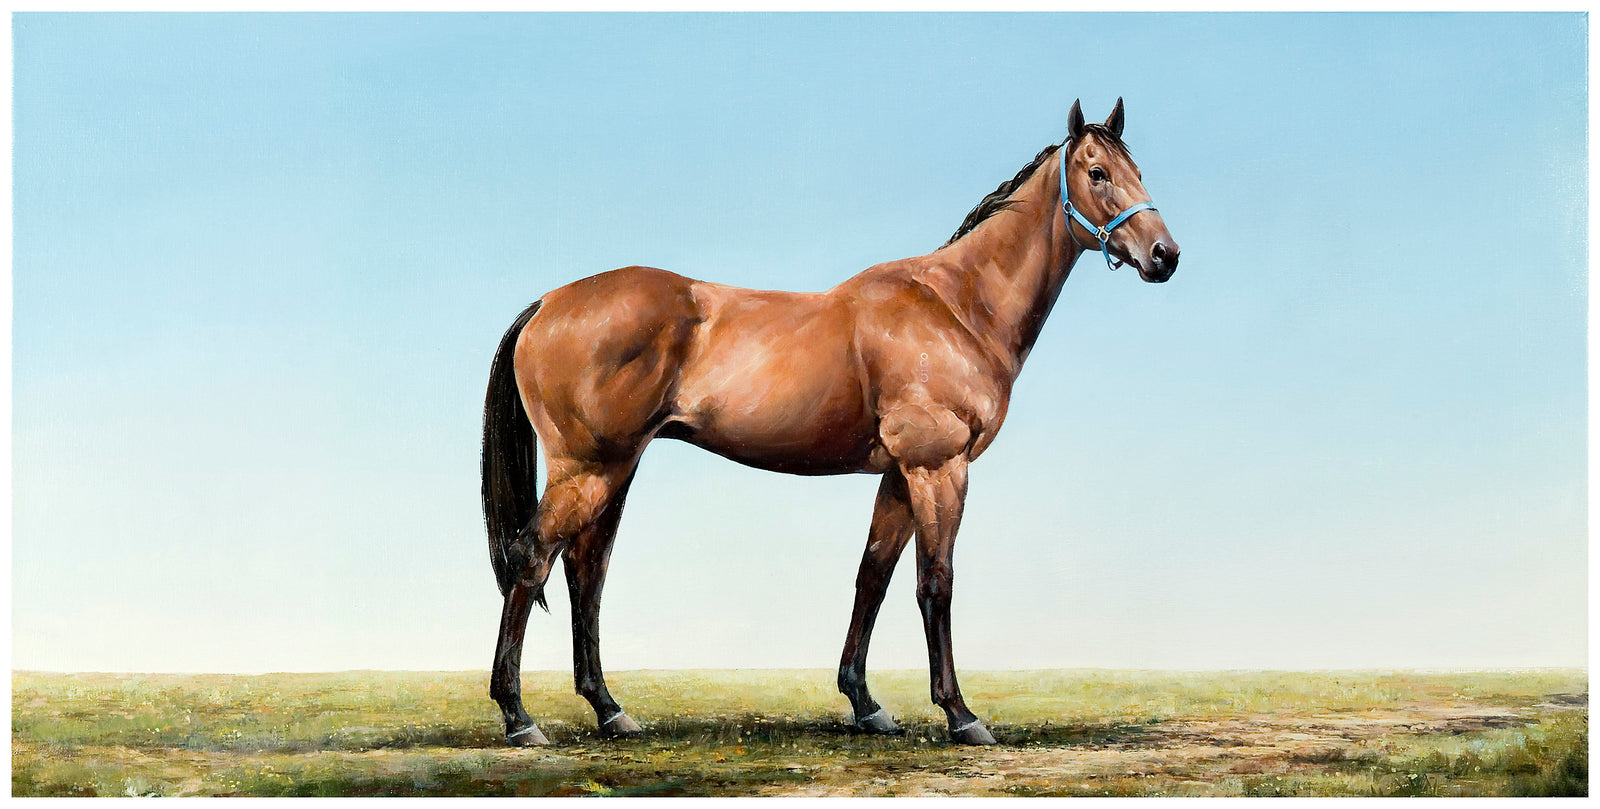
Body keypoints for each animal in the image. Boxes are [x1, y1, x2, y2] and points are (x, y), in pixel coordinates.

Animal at [480, 98, 1179, 747]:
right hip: (589, 469)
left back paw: (610, 711)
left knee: (586, 573)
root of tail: (548, 303)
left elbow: (872, 577)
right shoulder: (938, 469)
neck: (958, 306)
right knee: (533, 559)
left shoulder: (899, 476)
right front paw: (960, 714)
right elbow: (936, 582)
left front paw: (865, 704)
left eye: (1137, 170)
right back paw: (519, 718)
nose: (1164, 255)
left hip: (617, 469)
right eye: (1097, 173)